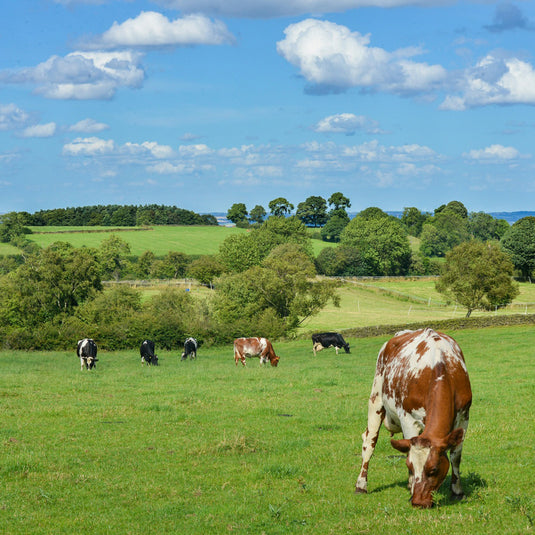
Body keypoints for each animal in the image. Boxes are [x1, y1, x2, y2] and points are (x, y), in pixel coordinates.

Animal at [356, 328, 474, 508]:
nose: (418, 502)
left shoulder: (464, 417)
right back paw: (361, 485)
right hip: (376, 398)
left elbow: (455, 456)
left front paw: (457, 491)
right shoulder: (408, 419)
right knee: (369, 442)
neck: (440, 367)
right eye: (410, 467)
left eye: (433, 469)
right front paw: (411, 485)